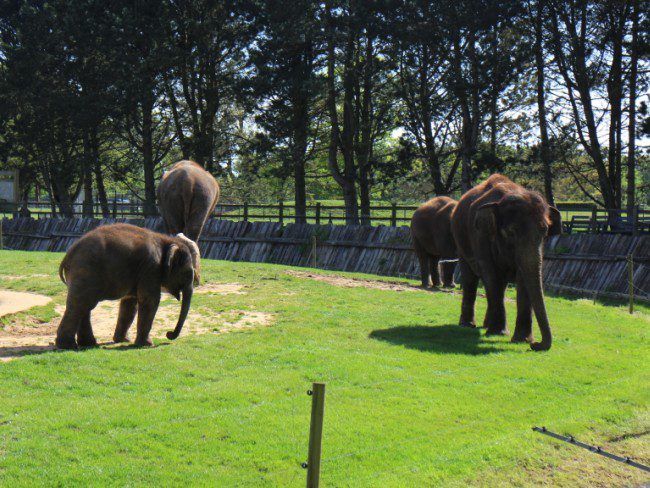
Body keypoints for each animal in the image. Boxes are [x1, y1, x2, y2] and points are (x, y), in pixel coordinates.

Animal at [54, 223, 199, 348]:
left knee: (84, 306)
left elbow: (130, 303)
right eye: (187, 273)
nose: (168, 334)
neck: (166, 240)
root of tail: (68, 254)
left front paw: (123, 340)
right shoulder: (151, 268)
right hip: (86, 271)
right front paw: (147, 345)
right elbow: (150, 300)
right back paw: (68, 346)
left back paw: (88, 344)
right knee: (80, 304)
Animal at [448, 175, 560, 350]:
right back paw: (468, 325)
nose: (535, 345)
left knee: (500, 286)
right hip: (460, 241)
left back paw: (486, 326)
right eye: (511, 232)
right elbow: (490, 274)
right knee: (471, 279)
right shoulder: (480, 234)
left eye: (545, 232)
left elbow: (523, 277)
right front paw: (500, 333)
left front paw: (521, 340)